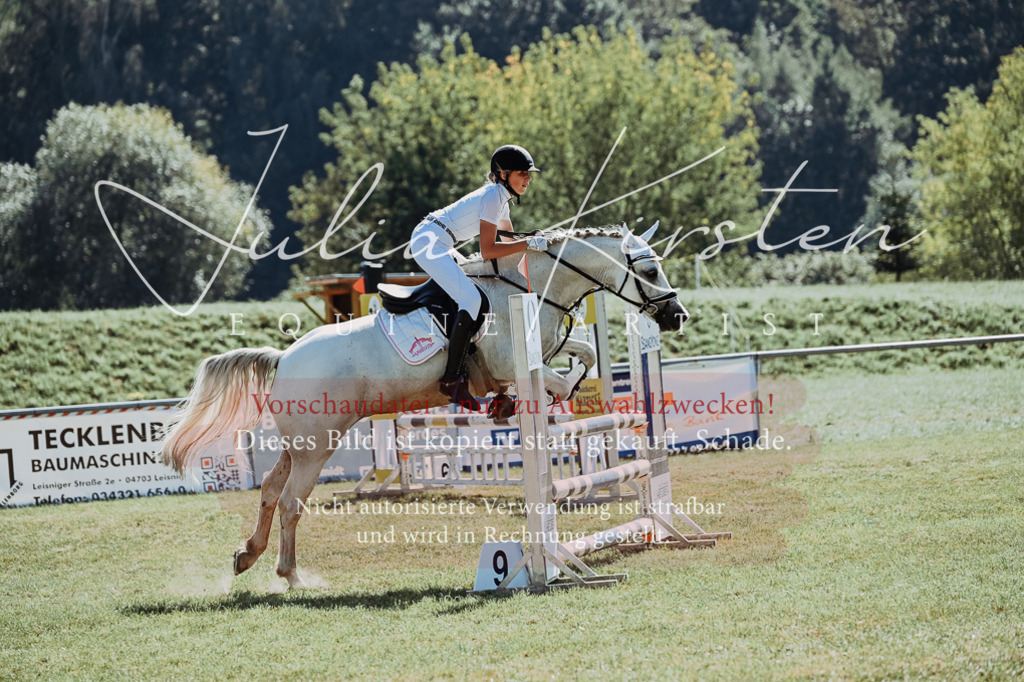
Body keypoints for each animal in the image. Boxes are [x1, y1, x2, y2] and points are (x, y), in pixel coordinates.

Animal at [161, 223, 687, 588]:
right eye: (649, 270)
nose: (677, 316)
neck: (529, 287)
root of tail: (283, 357)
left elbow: (585, 355)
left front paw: (543, 396)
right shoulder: (512, 363)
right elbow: (555, 377)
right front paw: (536, 399)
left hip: (301, 444)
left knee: (271, 491)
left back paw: (248, 555)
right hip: (316, 446)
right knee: (291, 502)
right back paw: (292, 576)